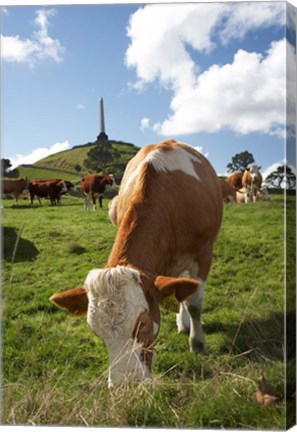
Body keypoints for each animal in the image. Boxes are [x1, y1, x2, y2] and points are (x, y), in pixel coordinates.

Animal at [50, 141, 222, 388]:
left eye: (143, 323)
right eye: (96, 332)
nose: (125, 385)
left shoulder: (204, 252)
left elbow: (195, 304)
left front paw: (197, 343)